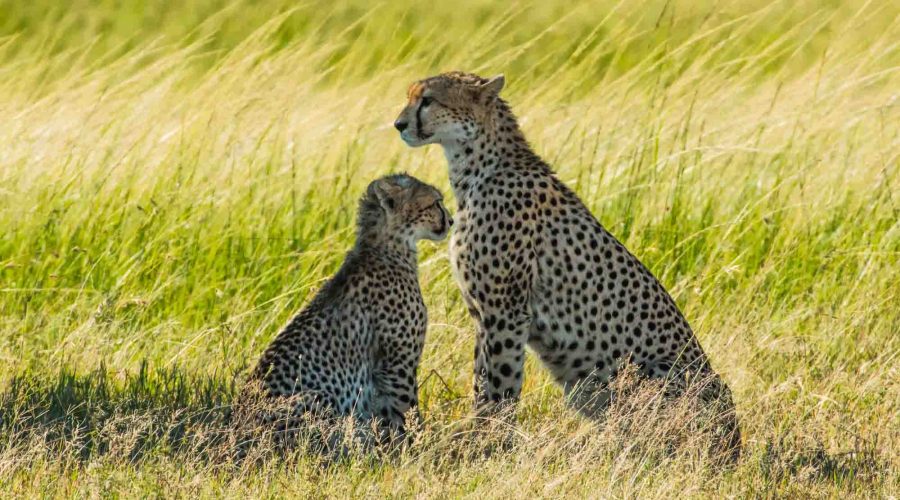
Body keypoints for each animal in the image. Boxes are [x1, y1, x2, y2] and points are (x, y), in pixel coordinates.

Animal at [243, 173, 452, 447]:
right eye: (436, 202)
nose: (451, 220)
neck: (385, 247)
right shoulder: (397, 366)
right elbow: (406, 411)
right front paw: (413, 446)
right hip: (317, 399)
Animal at [393, 71, 741, 460]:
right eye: (411, 97)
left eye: (428, 100)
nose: (399, 125)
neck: (479, 166)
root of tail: (734, 443)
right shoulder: (483, 313)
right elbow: (483, 380)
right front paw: (481, 439)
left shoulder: (505, 313)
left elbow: (499, 384)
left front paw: (488, 443)